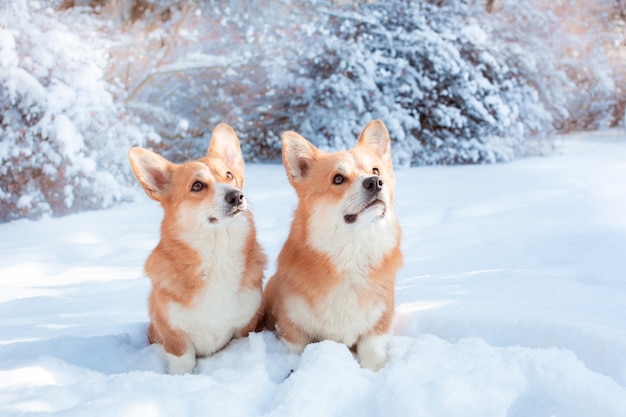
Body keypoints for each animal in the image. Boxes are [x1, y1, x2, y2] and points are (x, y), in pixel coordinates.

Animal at [127, 123, 264, 374]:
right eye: (197, 185)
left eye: (229, 175)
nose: (237, 196)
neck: (217, 253)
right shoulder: (173, 334)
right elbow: (183, 362)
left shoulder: (245, 327)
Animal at [262, 118, 400, 368]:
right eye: (338, 178)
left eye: (375, 170)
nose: (375, 182)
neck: (352, 252)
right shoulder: (292, 329)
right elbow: (295, 354)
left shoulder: (378, 324)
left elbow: (373, 354)